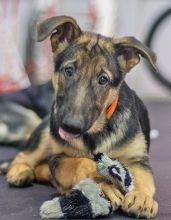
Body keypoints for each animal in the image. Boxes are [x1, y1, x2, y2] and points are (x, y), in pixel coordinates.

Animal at [6, 15, 158, 218]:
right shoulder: (59, 158)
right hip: (45, 133)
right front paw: (104, 183)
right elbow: (82, 162)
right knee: (24, 155)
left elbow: (141, 178)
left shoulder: (138, 160)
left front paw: (142, 198)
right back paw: (19, 171)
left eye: (103, 79)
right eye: (69, 71)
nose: (70, 126)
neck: (97, 132)